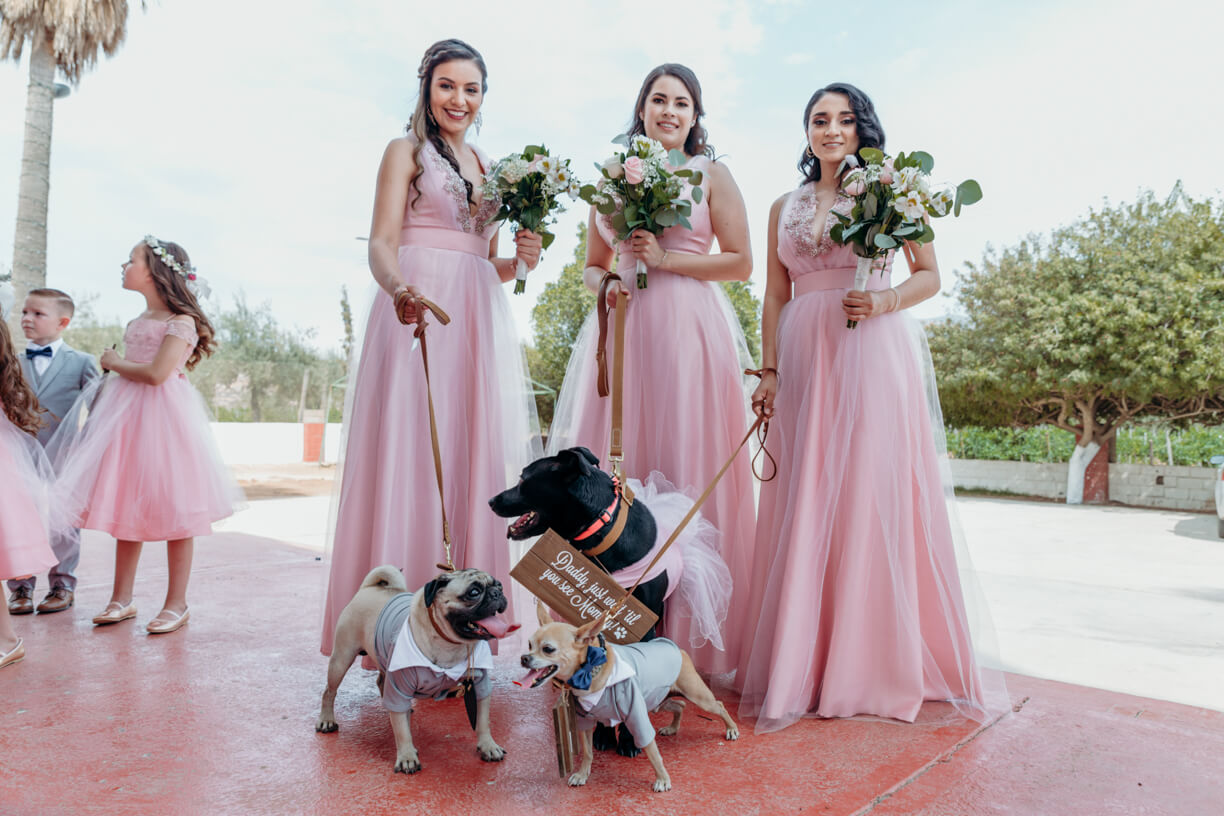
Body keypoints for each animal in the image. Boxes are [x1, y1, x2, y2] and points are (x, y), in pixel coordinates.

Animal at [316, 566, 520, 774]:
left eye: (499, 585)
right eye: (474, 592)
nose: (497, 593)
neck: (451, 644)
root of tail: (369, 588)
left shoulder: (479, 686)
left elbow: (483, 722)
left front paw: (488, 746)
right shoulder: (399, 683)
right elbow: (402, 731)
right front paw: (407, 756)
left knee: (381, 682)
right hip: (342, 658)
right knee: (329, 692)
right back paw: (327, 720)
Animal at [490, 446, 677, 757]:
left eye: (522, 479)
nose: (491, 500)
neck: (601, 534)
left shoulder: (641, 626)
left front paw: (628, 739)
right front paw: (603, 731)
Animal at [520, 607, 738, 792]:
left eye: (548, 649)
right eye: (529, 645)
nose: (524, 658)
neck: (590, 670)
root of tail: (676, 648)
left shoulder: (637, 717)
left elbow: (652, 752)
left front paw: (662, 779)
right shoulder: (585, 721)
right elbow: (588, 752)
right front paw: (582, 774)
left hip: (699, 698)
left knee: (719, 705)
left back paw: (731, 729)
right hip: (659, 702)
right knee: (680, 705)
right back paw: (672, 728)